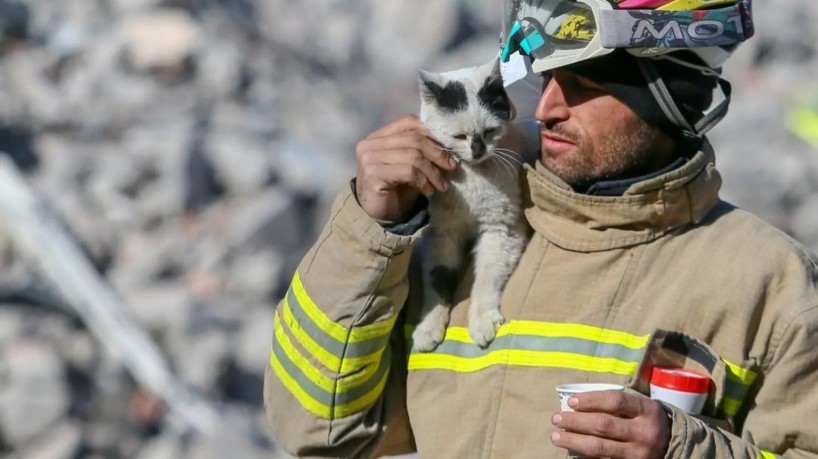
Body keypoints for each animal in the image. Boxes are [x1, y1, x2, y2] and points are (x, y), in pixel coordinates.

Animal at [408, 57, 528, 352]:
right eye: (460, 136)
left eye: (489, 131)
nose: (478, 150)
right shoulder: (442, 233)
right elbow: (437, 280)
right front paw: (428, 328)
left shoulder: (502, 228)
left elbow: (486, 277)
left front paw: (482, 322)